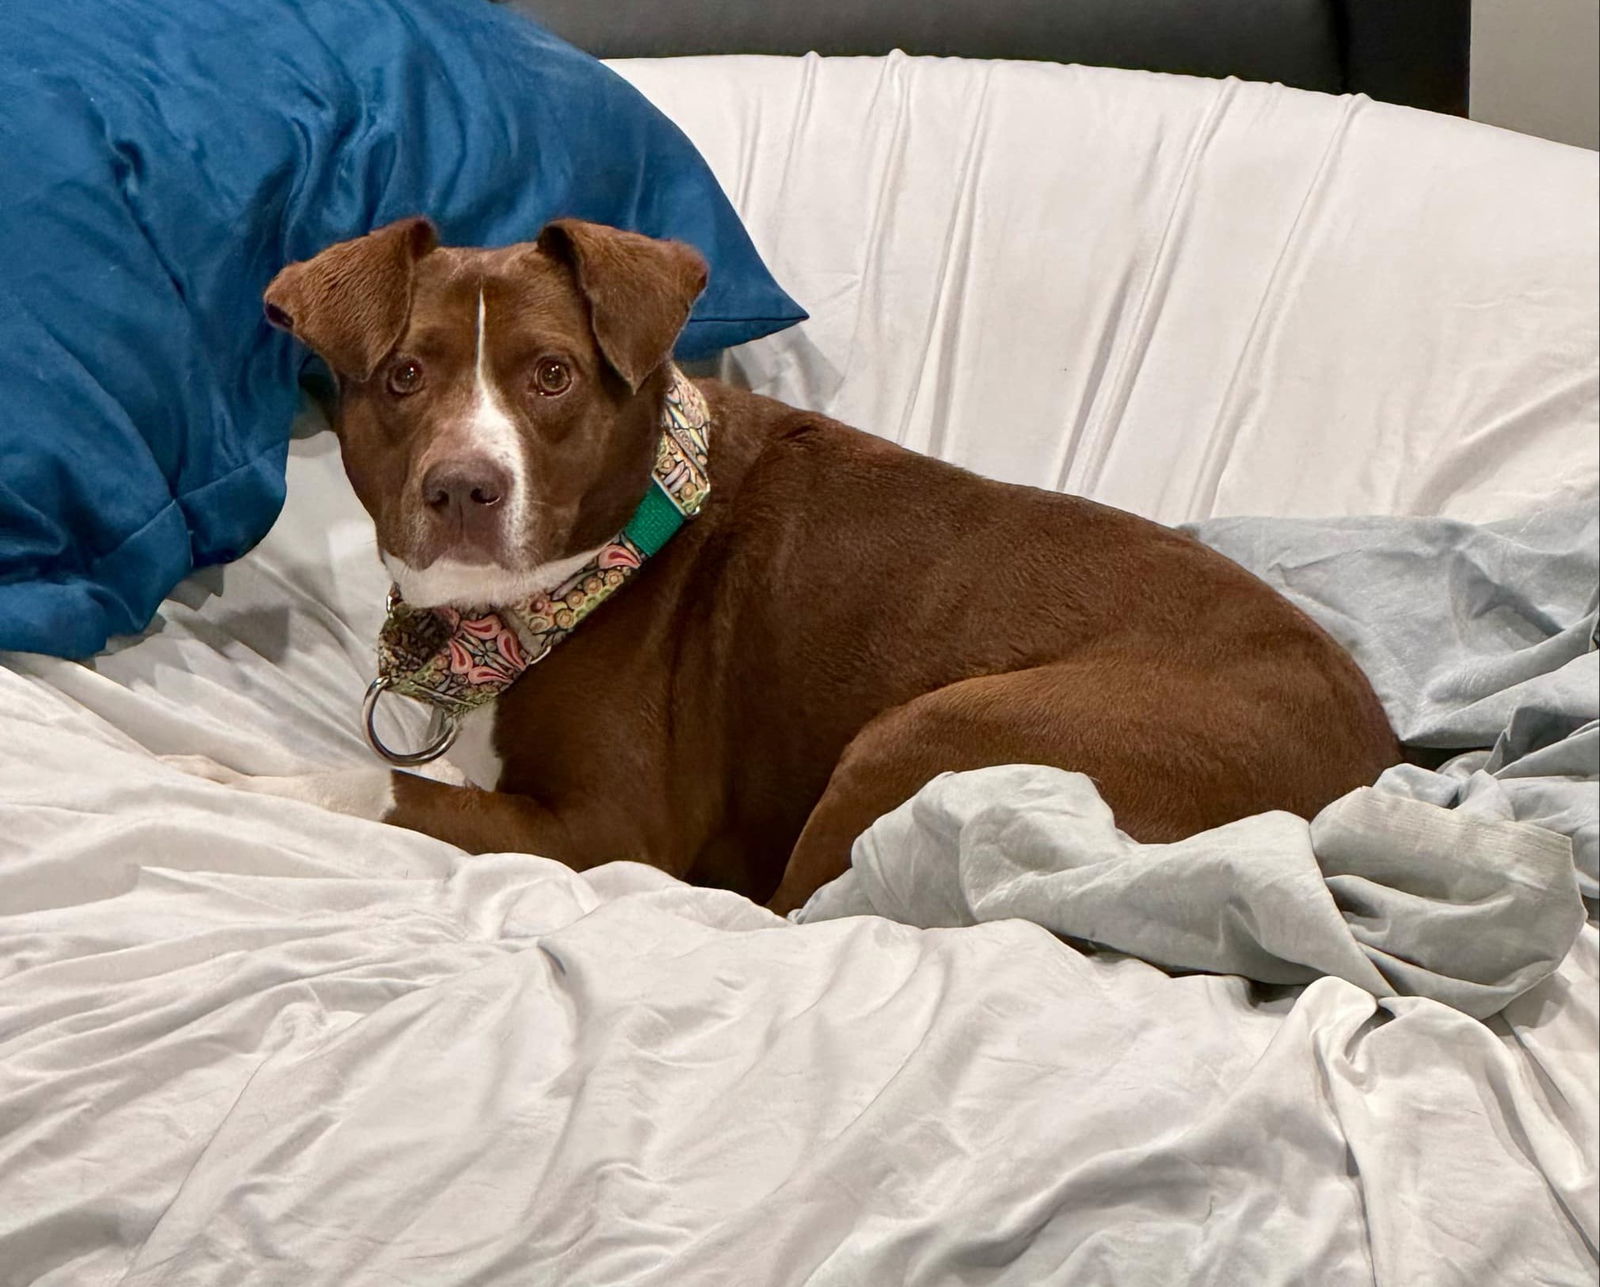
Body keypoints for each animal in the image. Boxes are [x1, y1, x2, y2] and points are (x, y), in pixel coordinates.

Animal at [252, 216, 1401, 915]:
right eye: (404, 374)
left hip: (936, 728)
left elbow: (384, 784)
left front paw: (235, 776)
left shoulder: (604, 832)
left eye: (552, 374)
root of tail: (1363, 781)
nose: (463, 488)